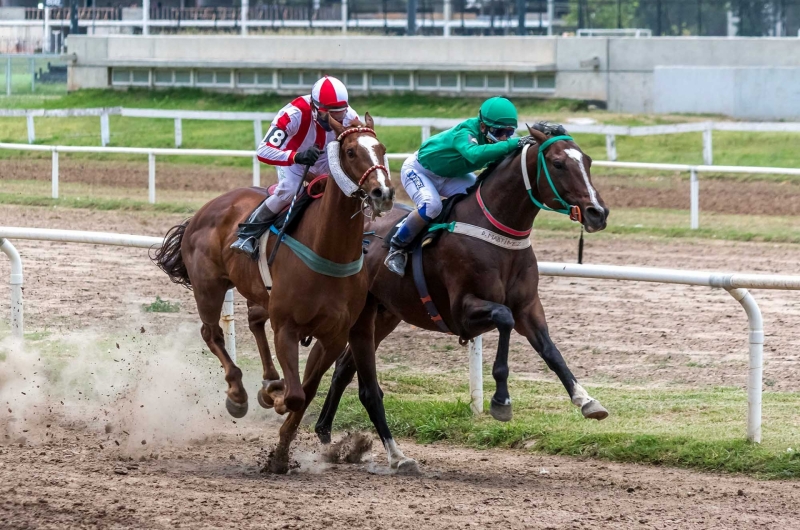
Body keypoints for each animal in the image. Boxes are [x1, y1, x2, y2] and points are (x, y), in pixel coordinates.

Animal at [152, 114, 396, 470]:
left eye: (382, 148)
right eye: (351, 151)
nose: (383, 192)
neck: (328, 250)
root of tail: (207, 208)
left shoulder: (335, 335)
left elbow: (306, 393)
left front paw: (280, 451)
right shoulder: (288, 327)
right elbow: (295, 396)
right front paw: (276, 401)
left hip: (257, 291)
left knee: (254, 320)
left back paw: (269, 381)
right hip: (209, 286)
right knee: (212, 333)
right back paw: (238, 394)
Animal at [306, 124, 612, 450]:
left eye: (588, 161)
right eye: (557, 163)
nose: (597, 212)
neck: (497, 232)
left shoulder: (529, 307)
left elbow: (551, 351)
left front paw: (586, 400)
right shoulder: (462, 311)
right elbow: (504, 318)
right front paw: (501, 400)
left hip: (385, 314)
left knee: (344, 367)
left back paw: (324, 428)